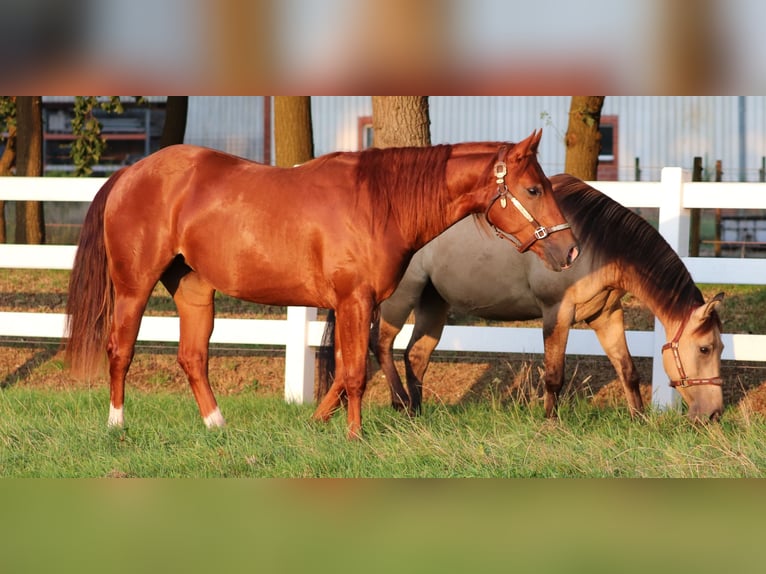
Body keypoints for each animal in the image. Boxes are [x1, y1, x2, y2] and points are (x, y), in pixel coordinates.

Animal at [64, 131, 580, 439]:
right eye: (534, 189)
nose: (571, 250)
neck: (378, 202)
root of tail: (130, 172)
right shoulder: (354, 300)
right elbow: (353, 373)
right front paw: (354, 435)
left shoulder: (360, 303)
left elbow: (354, 367)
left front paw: (319, 421)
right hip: (133, 286)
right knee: (120, 350)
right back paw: (116, 424)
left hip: (194, 288)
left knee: (193, 358)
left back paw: (217, 425)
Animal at [370, 174, 725, 422]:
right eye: (705, 348)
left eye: (721, 347)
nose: (714, 414)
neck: (594, 242)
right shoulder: (558, 311)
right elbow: (554, 375)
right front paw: (550, 422)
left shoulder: (607, 314)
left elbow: (627, 369)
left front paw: (638, 420)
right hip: (401, 297)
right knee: (382, 344)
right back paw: (400, 404)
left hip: (433, 302)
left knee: (416, 356)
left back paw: (416, 415)